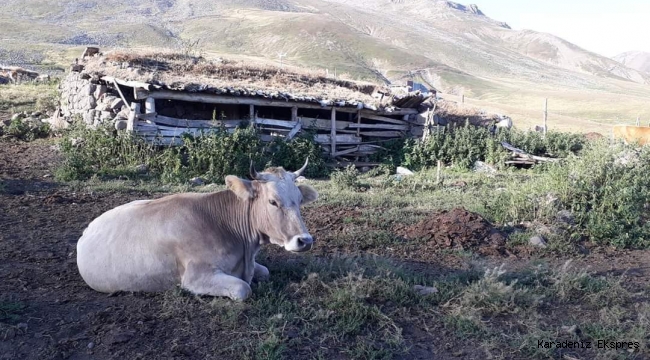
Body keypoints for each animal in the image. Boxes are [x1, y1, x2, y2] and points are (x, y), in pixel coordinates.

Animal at [74, 160, 318, 300]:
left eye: (299, 200)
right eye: (273, 202)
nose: (305, 240)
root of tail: (88, 229)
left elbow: (265, 271)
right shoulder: (196, 277)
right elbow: (242, 289)